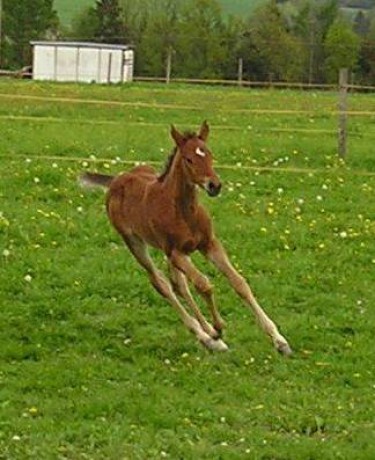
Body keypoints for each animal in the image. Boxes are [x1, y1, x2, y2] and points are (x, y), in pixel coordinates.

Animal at [81, 122, 294, 356]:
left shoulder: (209, 244)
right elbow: (204, 285)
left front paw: (279, 340)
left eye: (209, 154)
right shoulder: (176, 253)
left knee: (178, 285)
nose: (214, 185)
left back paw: (208, 337)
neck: (184, 211)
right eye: (189, 159)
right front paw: (217, 329)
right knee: (162, 284)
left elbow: (239, 283)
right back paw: (206, 336)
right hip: (136, 243)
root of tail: (116, 179)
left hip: (172, 253)